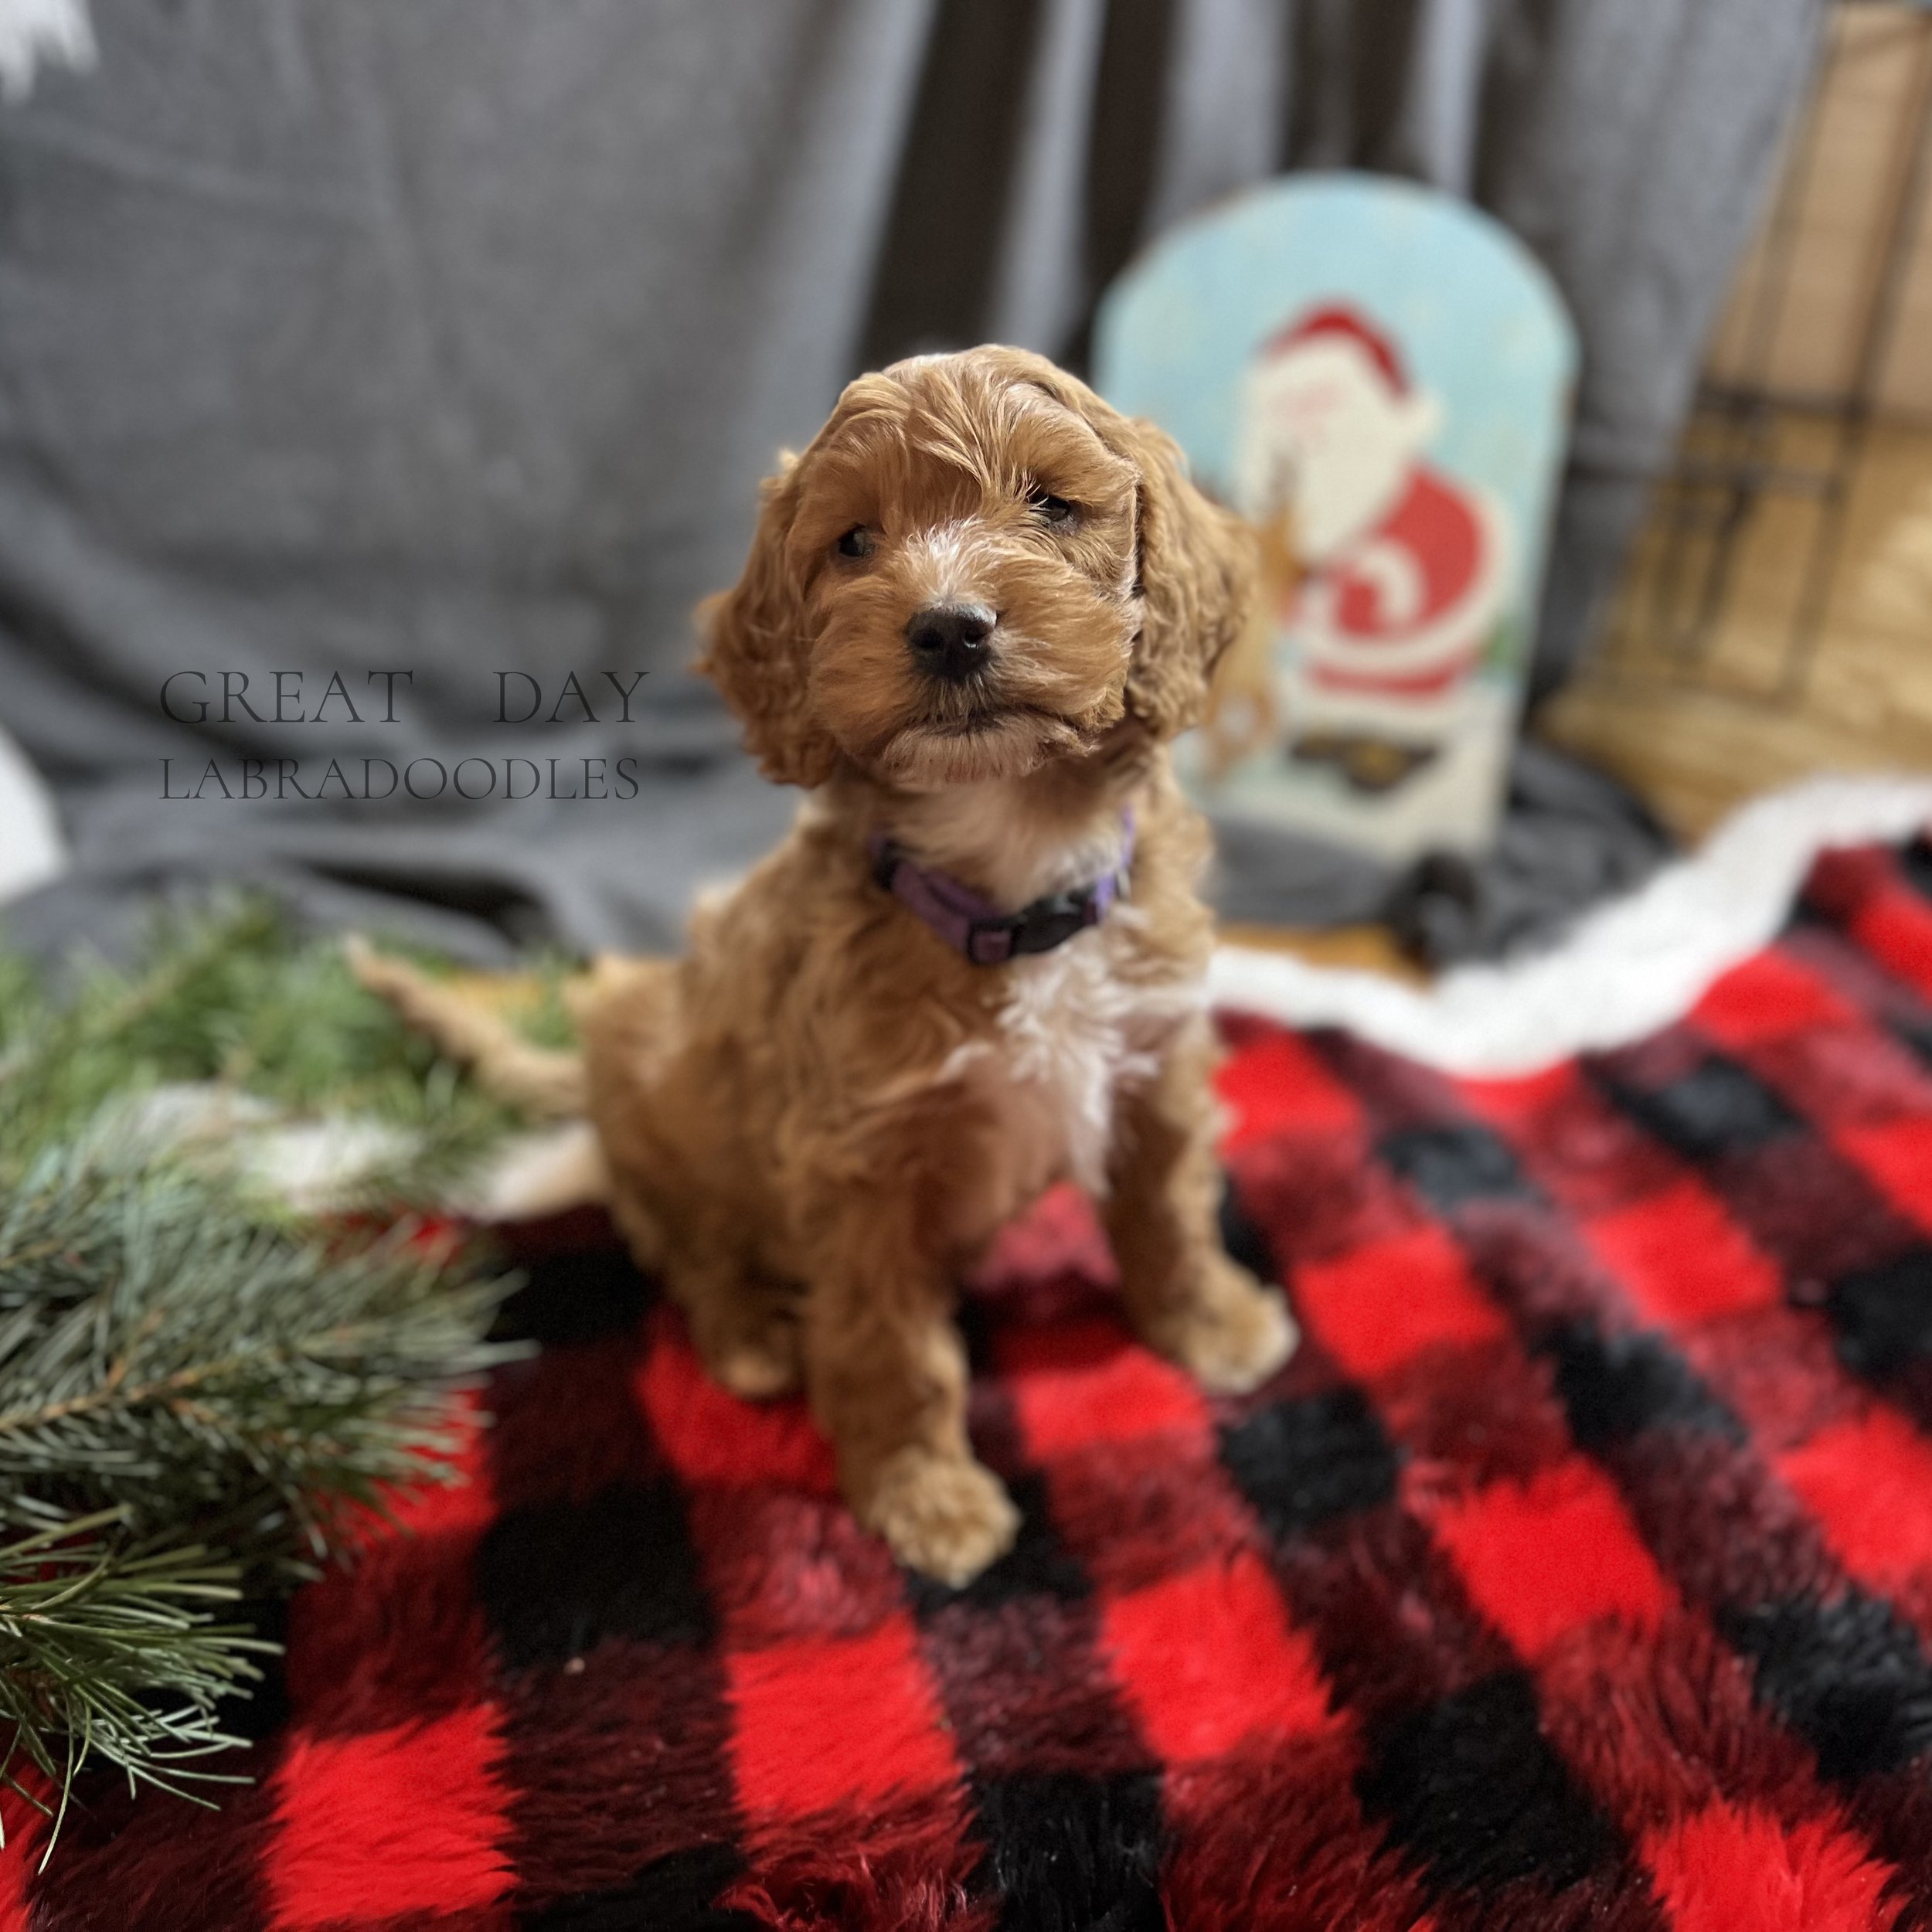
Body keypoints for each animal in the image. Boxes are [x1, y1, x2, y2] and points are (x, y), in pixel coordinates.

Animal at [357, 348, 1306, 1584]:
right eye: (855, 542)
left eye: (1052, 505)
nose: (948, 628)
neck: (1011, 868)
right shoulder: (862, 1168)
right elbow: (892, 1345)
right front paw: (924, 1498)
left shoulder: (1156, 1062)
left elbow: (1172, 1209)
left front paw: (1211, 1325)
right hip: (657, 1095)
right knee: (677, 1236)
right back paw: (751, 1334)